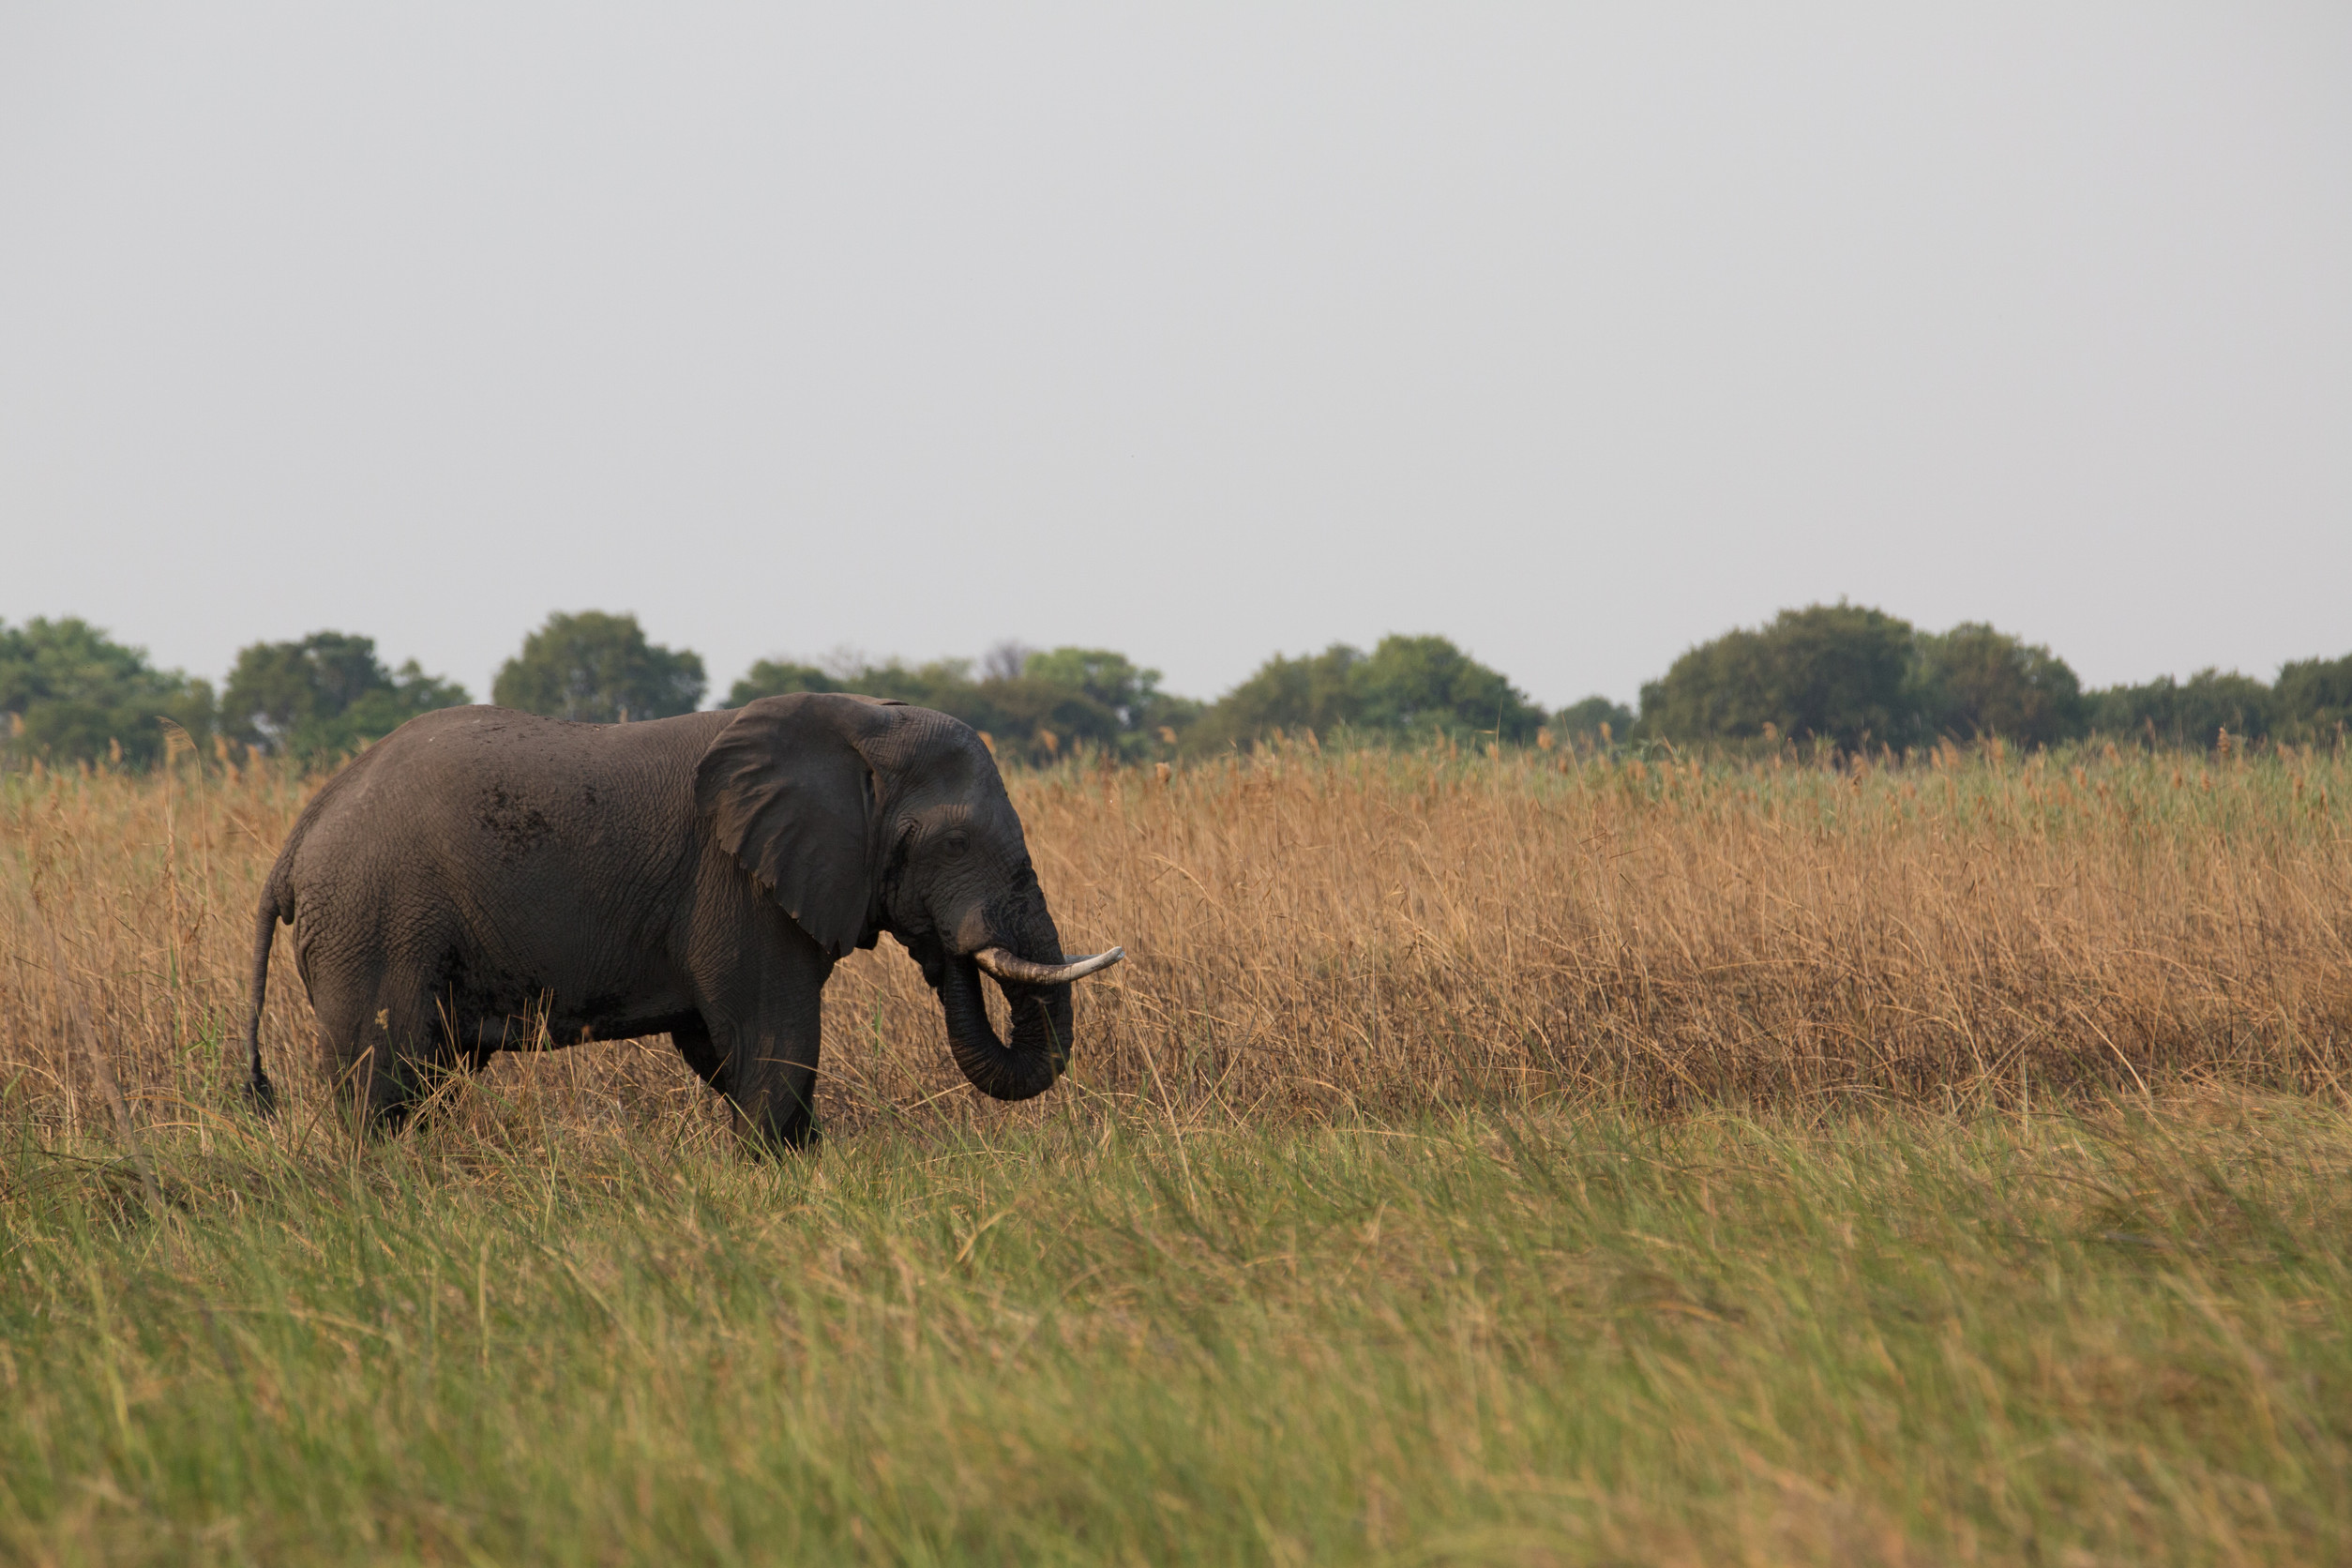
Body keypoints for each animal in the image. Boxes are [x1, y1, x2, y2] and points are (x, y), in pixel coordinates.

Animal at [238, 690, 1119, 1147]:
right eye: (955, 842)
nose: (950, 946)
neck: (856, 720)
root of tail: (296, 841)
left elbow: (727, 1050)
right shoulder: (738, 888)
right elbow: (773, 1043)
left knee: (425, 1081)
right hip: (374, 923)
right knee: (380, 1080)